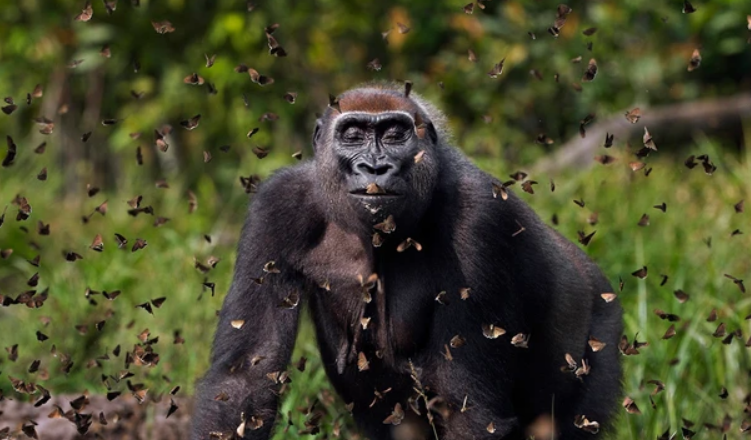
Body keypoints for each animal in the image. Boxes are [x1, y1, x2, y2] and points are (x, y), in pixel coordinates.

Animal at [192, 83, 624, 440]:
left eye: (394, 134)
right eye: (353, 135)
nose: (374, 167)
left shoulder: (481, 216)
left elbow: (470, 409)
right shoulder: (277, 205)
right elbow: (245, 378)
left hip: (603, 328)